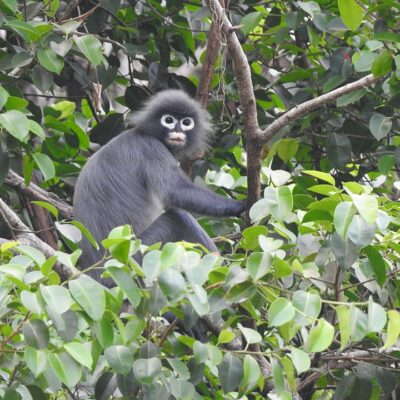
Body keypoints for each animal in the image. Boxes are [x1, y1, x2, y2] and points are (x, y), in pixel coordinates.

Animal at [73, 90, 245, 284]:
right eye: (168, 120)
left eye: (186, 123)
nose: (177, 131)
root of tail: (95, 274)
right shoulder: (150, 148)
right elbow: (176, 191)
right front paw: (243, 205)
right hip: (137, 258)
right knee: (179, 217)